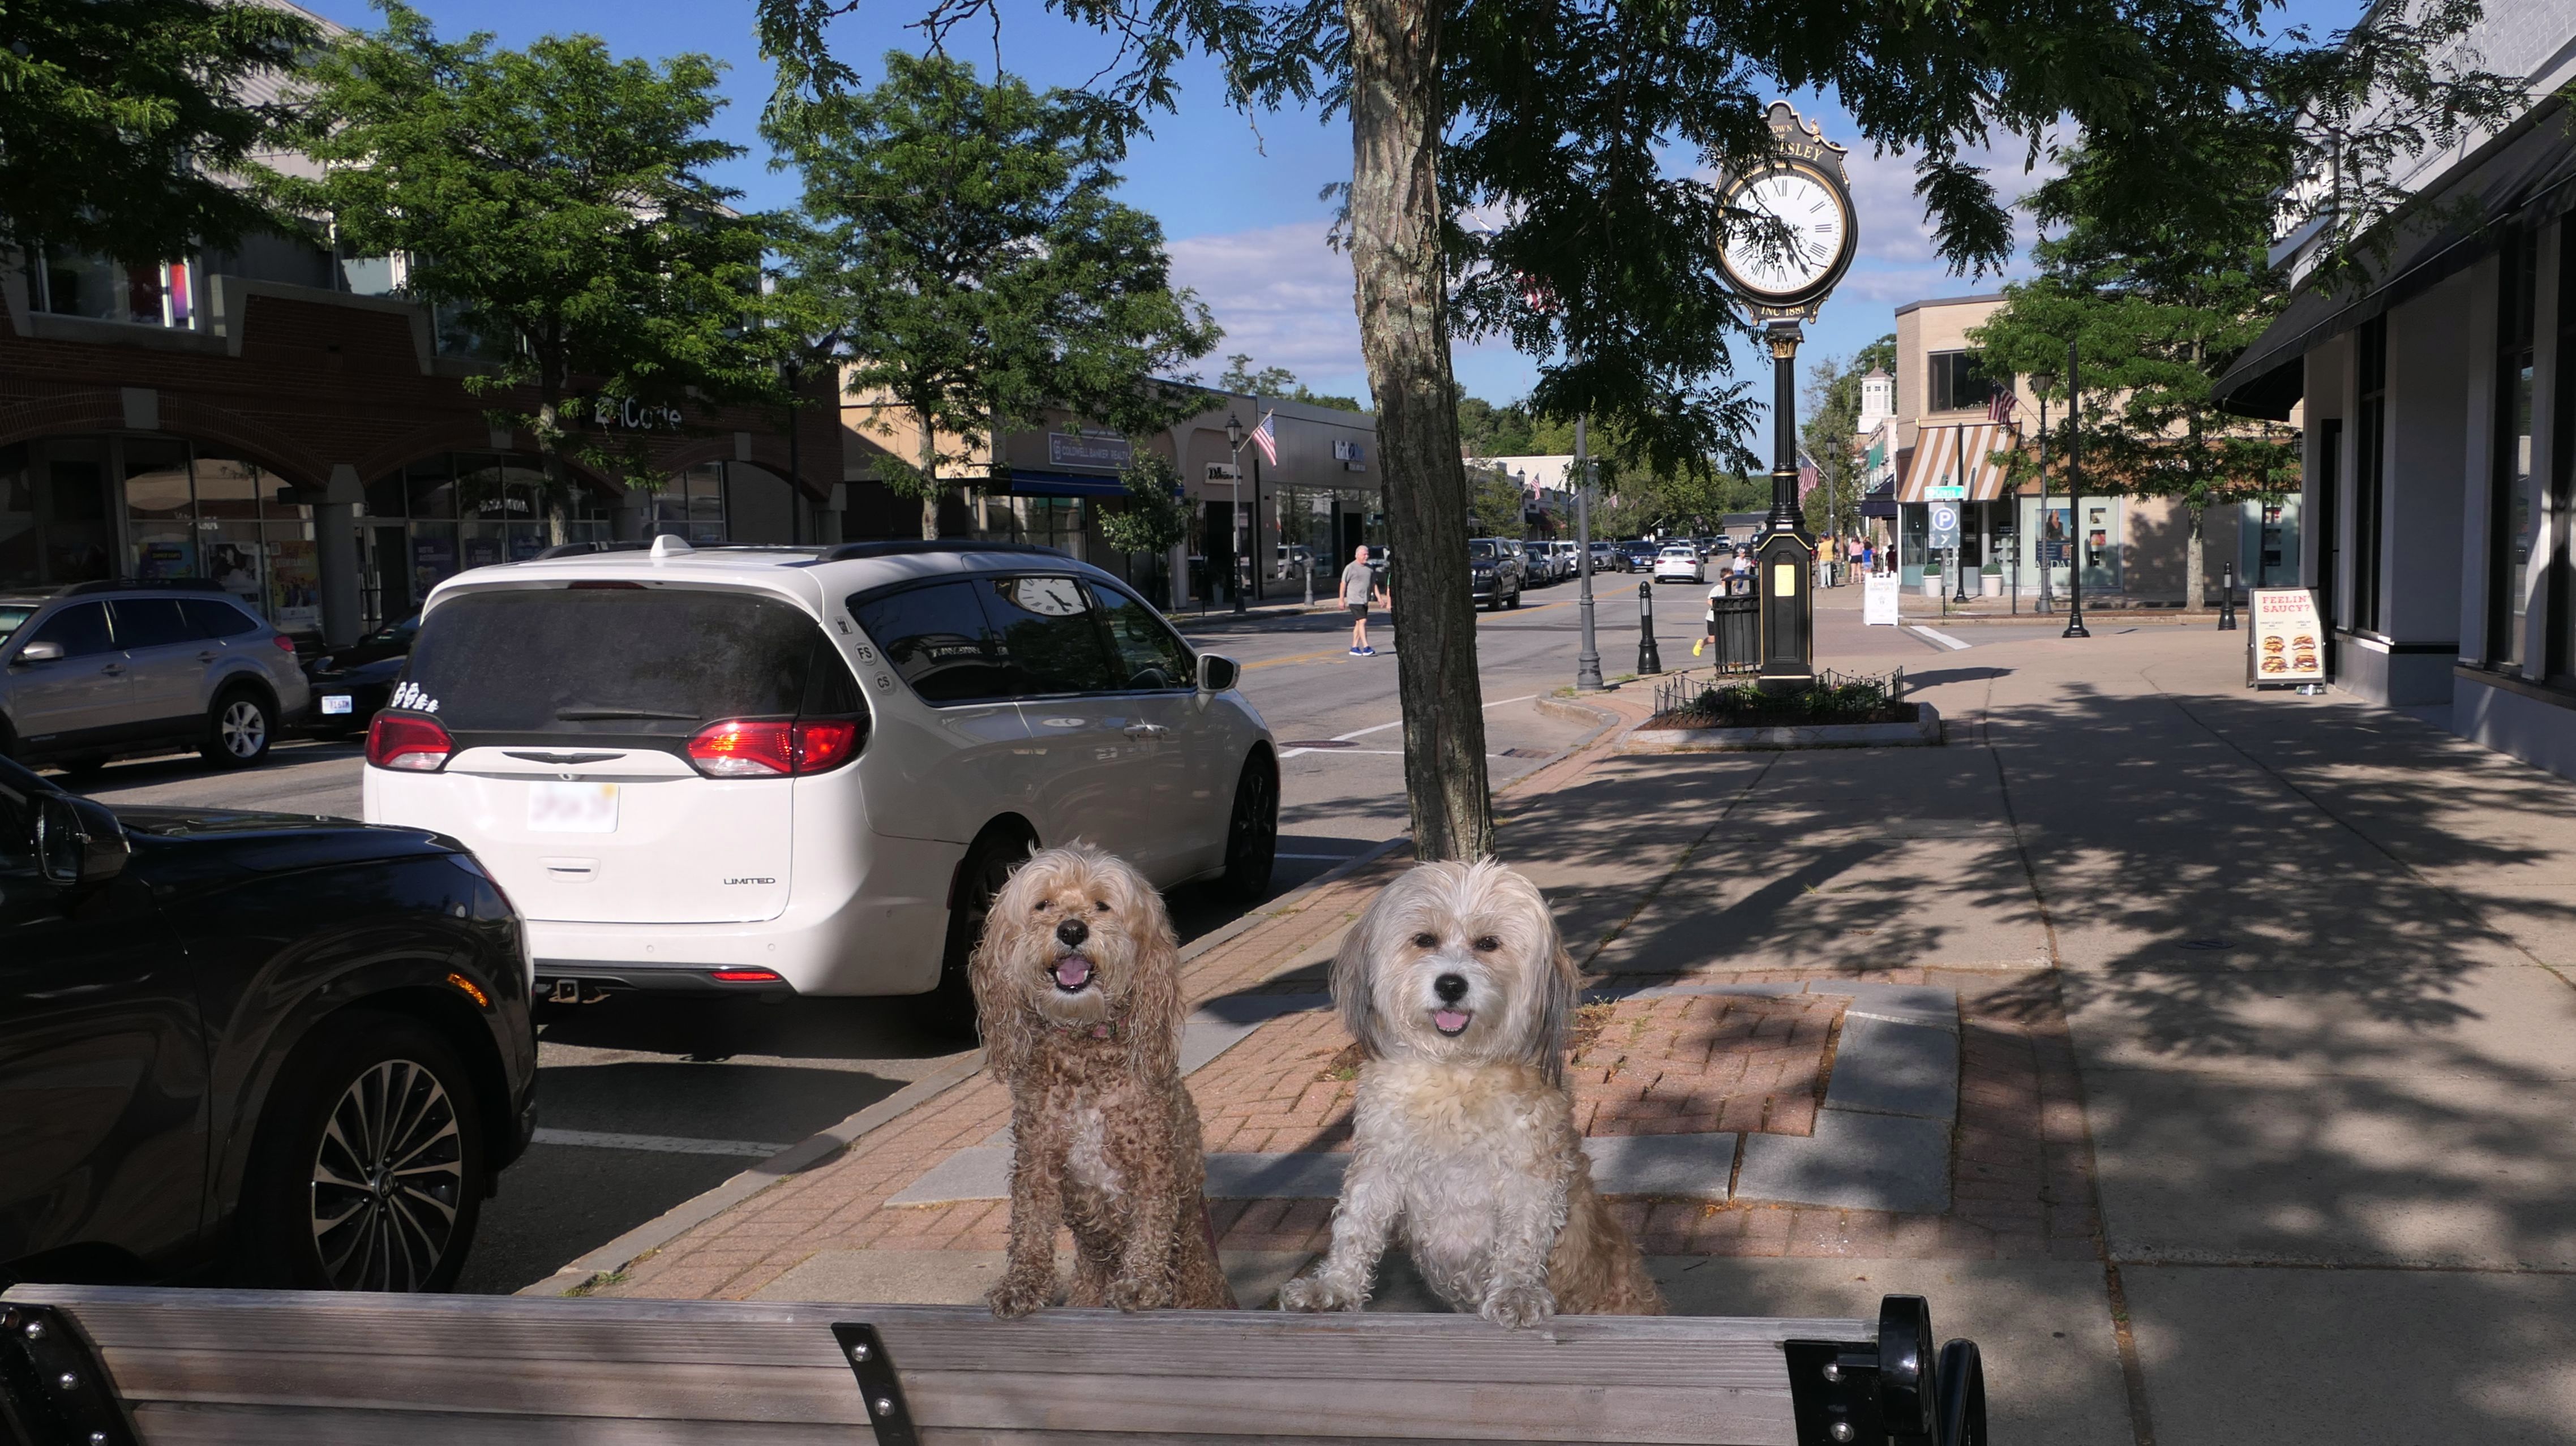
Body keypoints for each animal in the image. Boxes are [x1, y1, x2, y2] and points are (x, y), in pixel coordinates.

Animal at [972, 843, 1237, 1317]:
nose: (1072, 929)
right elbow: (1030, 1225)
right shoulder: (1037, 1158)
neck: (1084, 1054)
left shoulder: (1153, 1159)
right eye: (1044, 904)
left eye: (1101, 905)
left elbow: (1151, 1223)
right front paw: (1021, 1283)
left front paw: (1141, 1283)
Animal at [1278, 858, 1664, 1326]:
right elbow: (1355, 1226)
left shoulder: (1531, 1173)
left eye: (1488, 943)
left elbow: (1521, 1240)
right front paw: (1334, 1287)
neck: (1455, 1071)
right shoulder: (1379, 1163)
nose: (1450, 984)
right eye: (1424, 939)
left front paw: (1516, 1290)